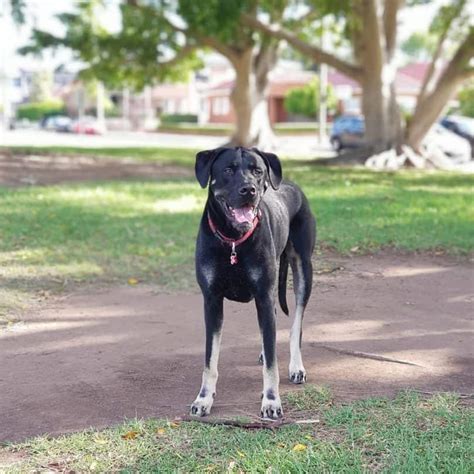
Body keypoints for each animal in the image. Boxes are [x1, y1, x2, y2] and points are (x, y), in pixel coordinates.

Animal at [189, 147, 314, 418]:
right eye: (228, 169)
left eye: (257, 171)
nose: (249, 189)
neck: (233, 240)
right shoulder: (212, 301)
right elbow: (210, 359)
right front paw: (203, 399)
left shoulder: (264, 296)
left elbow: (272, 365)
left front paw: (271, 401)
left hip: (304, 270)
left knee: (296, 323)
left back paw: (295, 366)